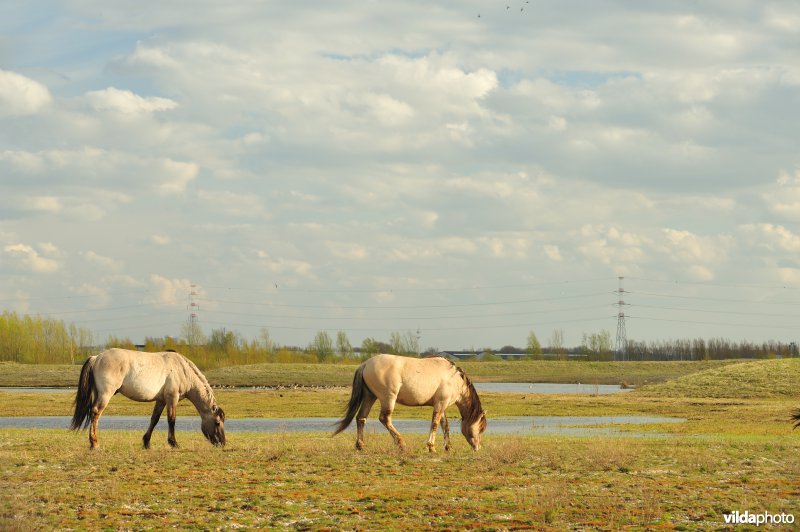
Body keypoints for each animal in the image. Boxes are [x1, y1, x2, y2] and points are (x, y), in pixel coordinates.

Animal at [70, 350, 225, 448]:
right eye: (217, 422)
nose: (222, 443)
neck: (183, 370)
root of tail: (97, 357)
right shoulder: (172, 398)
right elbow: (171, 420)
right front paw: (173, 443)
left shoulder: (161, 400)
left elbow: (154, 419)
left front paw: (146, 442)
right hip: (105, 394)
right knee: (95, 413)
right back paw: (94, 443)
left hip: (98, 393)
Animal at [332, 356, 488, 450]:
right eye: (480, 428)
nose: (477, 448)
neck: (454, 379)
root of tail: (365, 364)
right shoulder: (440, 404)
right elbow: (435, 424)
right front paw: (430, 446)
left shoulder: (441, 405)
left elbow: (445, 425)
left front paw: (447, 446)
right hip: (388, 398)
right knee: (384, 419)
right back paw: (401, 443)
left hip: (369, 397)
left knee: (361, 418)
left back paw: (360, 445)